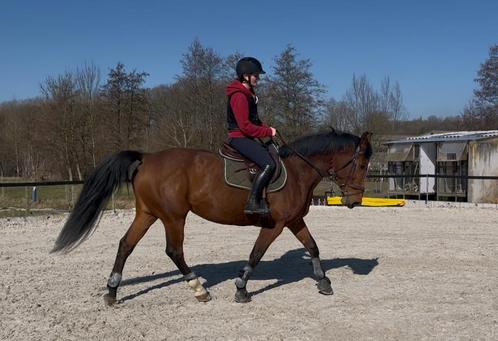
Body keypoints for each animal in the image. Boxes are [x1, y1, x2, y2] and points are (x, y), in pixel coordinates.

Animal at [52, 129, 372, 302]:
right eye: (362, 164)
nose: (355, 200)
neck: (297, 171)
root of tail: (147, 158)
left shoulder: (293, 220)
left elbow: (313, 246)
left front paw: (323, 281)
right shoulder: (276, 224)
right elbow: (256, 254)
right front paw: (241, 288)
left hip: (148, 213)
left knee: (125, 245)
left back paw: (112, 291)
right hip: (173, 217)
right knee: (174, 250)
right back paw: (198, 289)